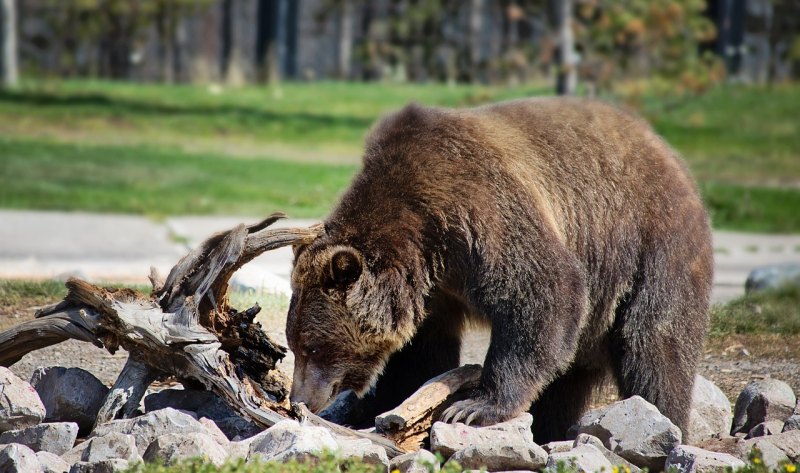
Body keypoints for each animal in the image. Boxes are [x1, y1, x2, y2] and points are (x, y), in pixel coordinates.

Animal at [286, 97, 712, 442]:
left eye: (312, 347)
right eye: (295, 345)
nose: (299, 399)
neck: (423, 241)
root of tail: (666, 150)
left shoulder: (478, 209)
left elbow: (543, 289)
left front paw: (473, 407)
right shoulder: (434, 290)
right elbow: (420, 355)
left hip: (650, 245)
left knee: (653, 346)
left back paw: (665, 420)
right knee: (567, 379)